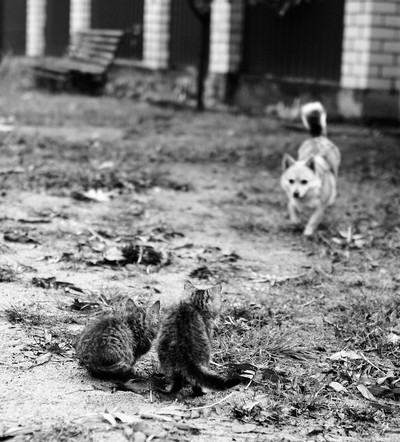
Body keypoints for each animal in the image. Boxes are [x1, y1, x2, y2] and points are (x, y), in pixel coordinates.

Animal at [280, 102, 341, 236]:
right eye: (291, 181)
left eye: (304, 181)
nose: (295, 193)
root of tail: (318, 137)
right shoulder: (291, 202)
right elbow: (294, 215)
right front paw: (296, 223)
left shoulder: (319, 208)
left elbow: (312, 221)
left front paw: (307, 233)